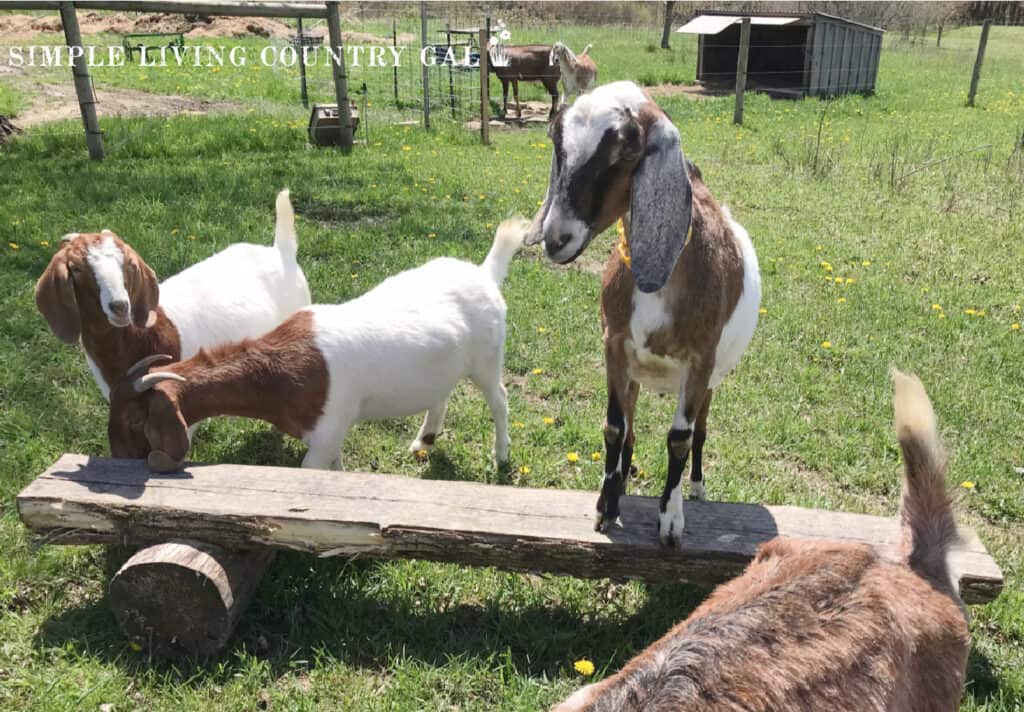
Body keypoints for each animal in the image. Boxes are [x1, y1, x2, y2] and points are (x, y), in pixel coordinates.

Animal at [109, 217, 528, 473]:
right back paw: (422, 442)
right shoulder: (332, 433)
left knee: (500, 399)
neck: (278, 372)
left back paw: (501, 456)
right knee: (440, 393)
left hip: (488, 357)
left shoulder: (325, 434)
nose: (117, 460)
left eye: (136, 420)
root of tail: (485, 274)